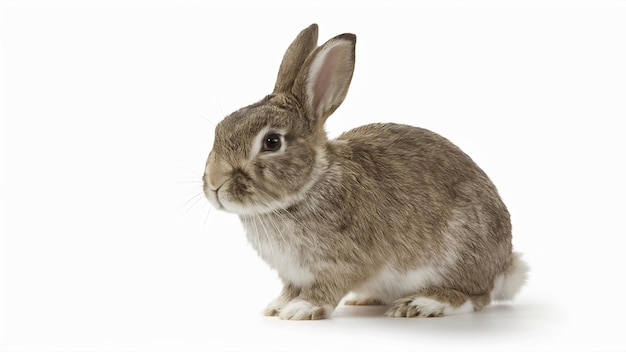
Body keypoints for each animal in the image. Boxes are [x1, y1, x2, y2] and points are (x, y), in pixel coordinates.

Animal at [202, 23, 524, 320]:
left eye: (272, 142)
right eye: (220, 128)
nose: (215, 185)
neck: (311, 185)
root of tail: (504, 266)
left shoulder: (344, 263)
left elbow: (327, 288)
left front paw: (302, 309)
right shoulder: (293, 274)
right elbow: (289, 289)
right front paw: (276, 307)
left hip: (460, 255)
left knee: (475, 297)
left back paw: (421, 303)